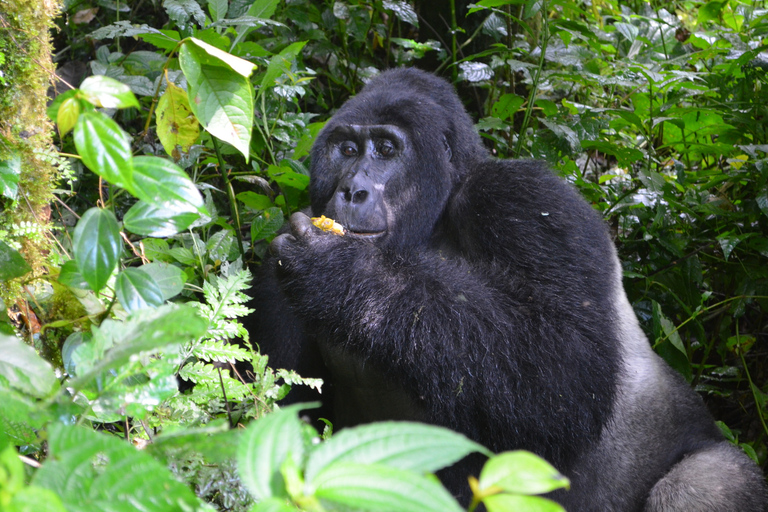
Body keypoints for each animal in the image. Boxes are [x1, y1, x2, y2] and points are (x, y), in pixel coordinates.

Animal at [248, 69, 768, 512]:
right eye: (347, 149)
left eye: (387, 148)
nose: (352, 190)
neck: (430, 224)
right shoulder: (274, 266)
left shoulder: (522, 196)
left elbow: (566, 371)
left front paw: (341, 271)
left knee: (701, 485)